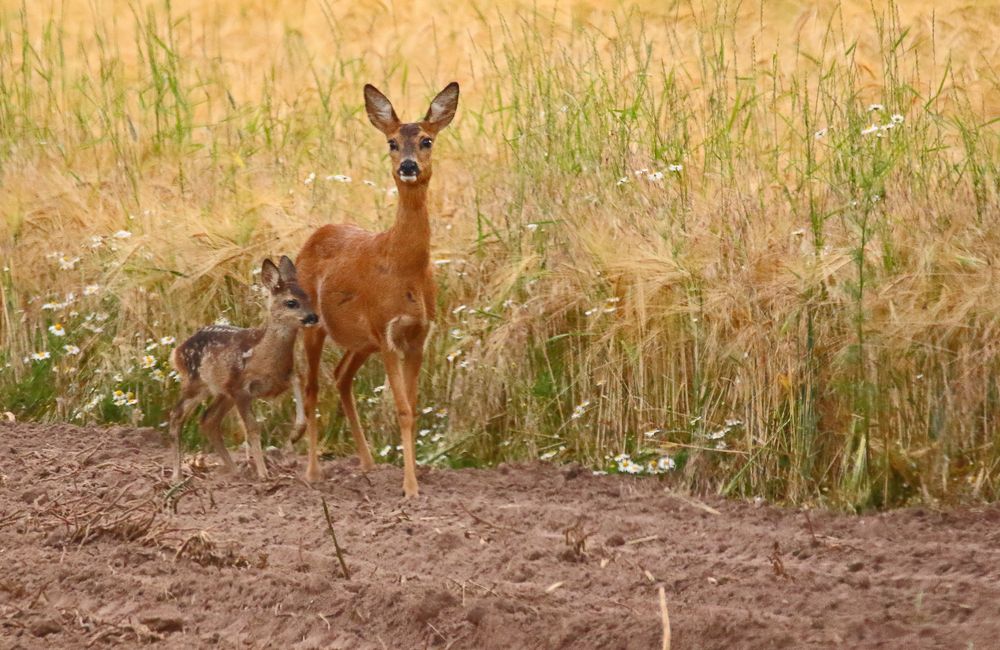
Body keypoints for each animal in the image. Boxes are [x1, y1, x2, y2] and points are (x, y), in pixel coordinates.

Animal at [167, 256, 316, 478]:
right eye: (291, 302)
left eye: (309, 297)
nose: (314, 317)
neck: (262, 355)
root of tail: (177, 351)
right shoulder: (240, 388)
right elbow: (252, 428)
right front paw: (263, 474)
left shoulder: (281, 379)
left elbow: (298, 383)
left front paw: (295, 436)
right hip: (196, 383)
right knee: (176, 416)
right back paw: (177, 475)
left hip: (222, 393)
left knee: (208, 419)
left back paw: (234, 470)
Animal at [292, 82, 458, 496]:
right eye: (392, 142)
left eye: (427, 140)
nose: (408, 166)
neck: (403, 266)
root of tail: (315, 235)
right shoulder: (387, 331)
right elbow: (402, 409)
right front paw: (410, 488)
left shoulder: (417, 334)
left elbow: (412, 407)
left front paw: (412, 478)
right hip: (314, 324)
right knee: (312, 386)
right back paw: (313, 472)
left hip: (360, 338)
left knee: (341, 376)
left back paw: (367, 464)